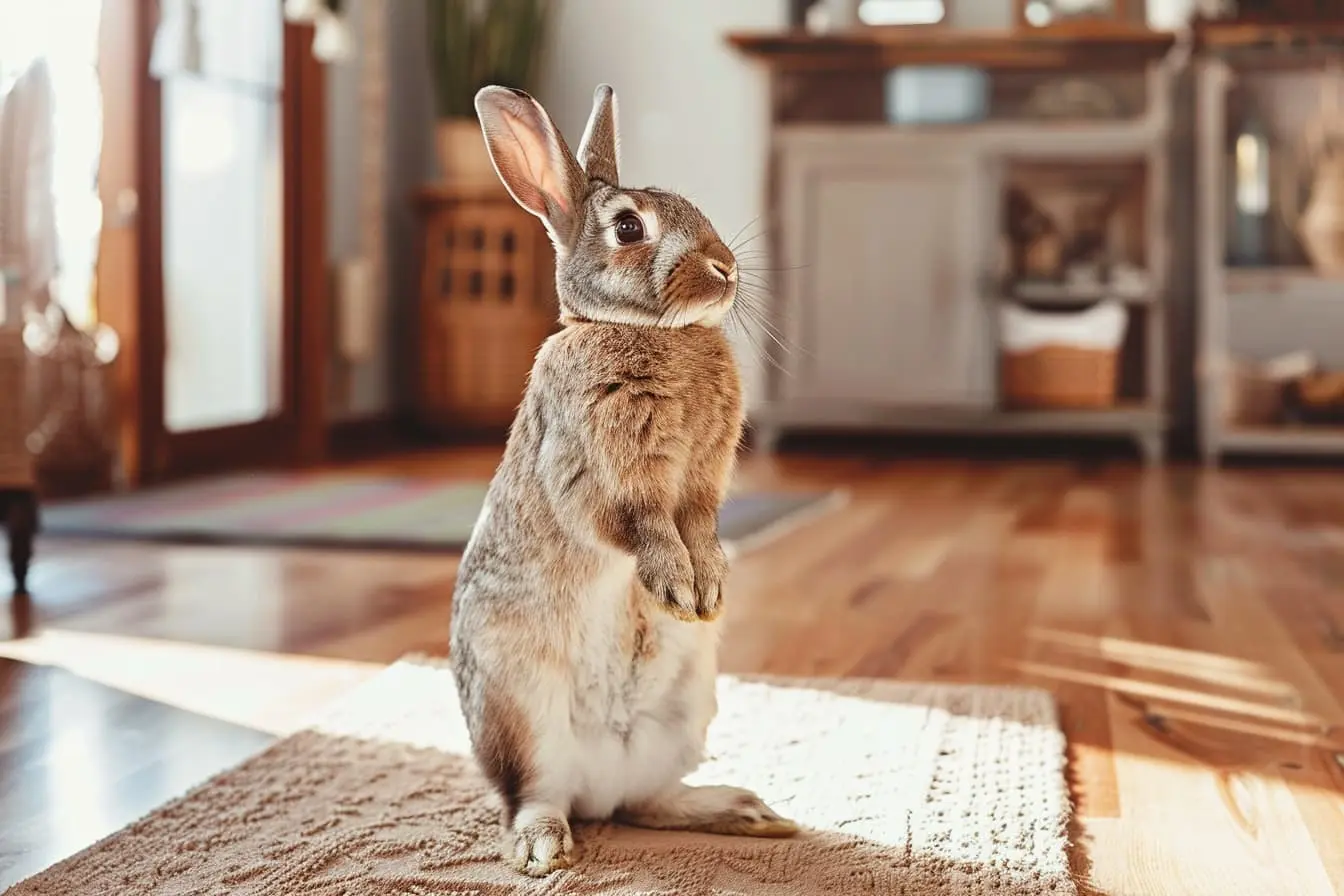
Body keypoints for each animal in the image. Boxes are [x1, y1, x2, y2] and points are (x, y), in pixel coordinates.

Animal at [448, 85, 795, 881]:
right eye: (630, 227)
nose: (726, 269)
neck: (658, 333)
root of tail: (596, 790)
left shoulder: (702, 483)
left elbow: (699, 524)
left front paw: (708, 589)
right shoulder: (600, 474)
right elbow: (643, 524)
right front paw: (674, 584)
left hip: (685, 709)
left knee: (648, 803)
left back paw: (747, 812)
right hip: (522, 713)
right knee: (534, 795)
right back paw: (543, 849)